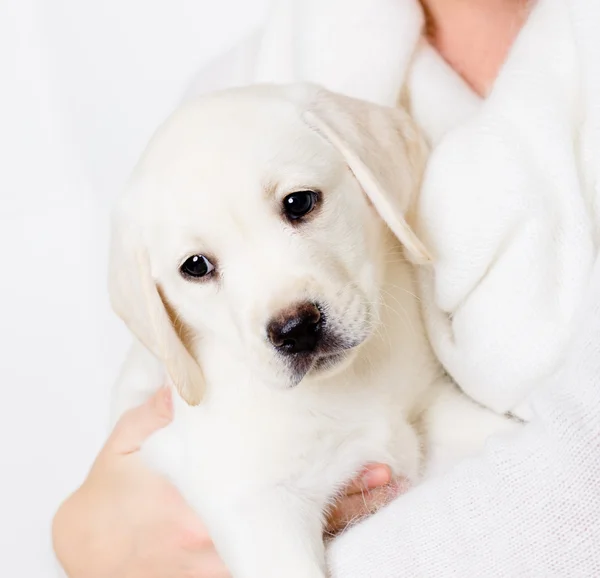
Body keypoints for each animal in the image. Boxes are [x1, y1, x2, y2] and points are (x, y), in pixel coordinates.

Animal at [110, 82, 516, 576]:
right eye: (196, 266)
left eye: (299, 202)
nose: (295, 329)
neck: (347, 387)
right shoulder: (258, 508)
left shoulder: (426, 403)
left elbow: (486, 428)